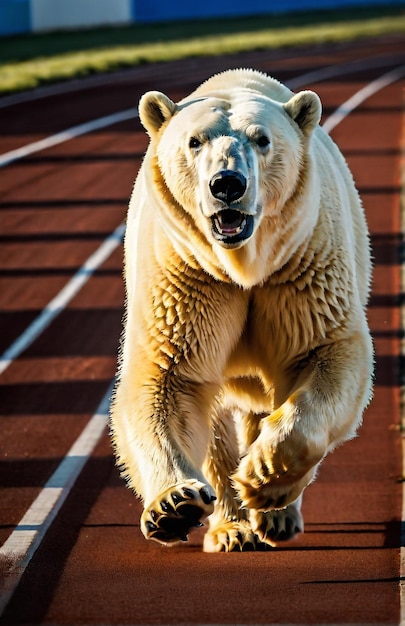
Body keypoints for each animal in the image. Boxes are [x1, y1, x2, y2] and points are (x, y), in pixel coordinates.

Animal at [109, 68, 372, 552]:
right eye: (194, 141)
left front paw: (263, 476)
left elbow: (324, 354)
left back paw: (276, 515)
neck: (243, 266)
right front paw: (174, 506)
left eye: (262, 139)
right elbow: (171, 378)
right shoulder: (188, 273)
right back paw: (232, 528)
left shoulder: (301, 262)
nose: (227, 184)